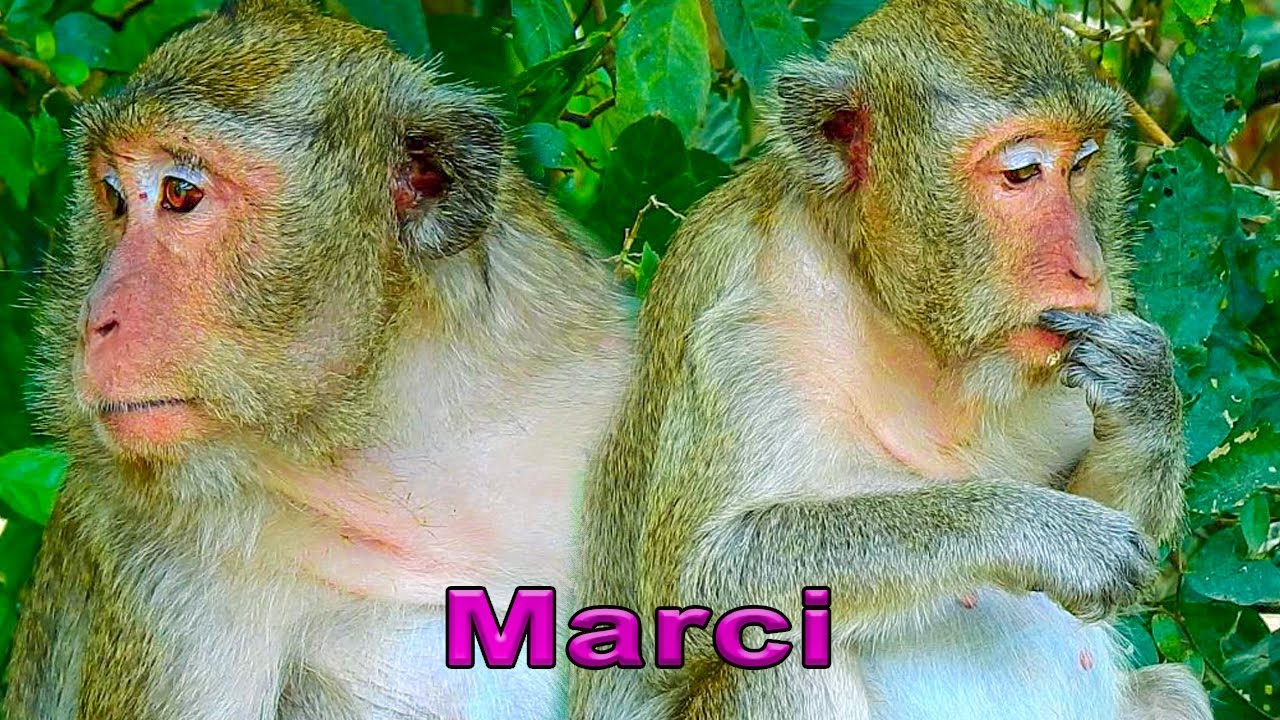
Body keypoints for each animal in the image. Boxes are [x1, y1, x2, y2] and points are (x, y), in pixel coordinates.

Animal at [570, 1, 1212, 719]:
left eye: (1082, 164)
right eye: (1022, 173)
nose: (1088, 267)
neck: (900, 313)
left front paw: (1145, 387)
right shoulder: (743, 316)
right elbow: (695, 583)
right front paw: (1043, 531)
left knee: (1170, 687)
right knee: (773, 651)